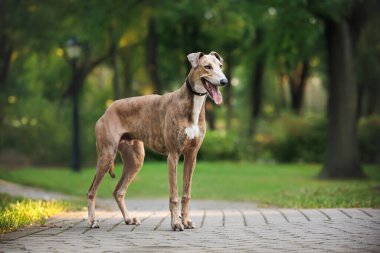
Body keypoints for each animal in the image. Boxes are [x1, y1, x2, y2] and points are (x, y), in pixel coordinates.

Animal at [87, 51, 227, 231]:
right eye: (207, 66)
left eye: (220, 66)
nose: (224, 81)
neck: (192, 104)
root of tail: (108, 109)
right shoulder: (173, 156)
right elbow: (174, 195)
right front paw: (176, 223)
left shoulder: (191, 156)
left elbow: (186, 194)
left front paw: (186, 221)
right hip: (107, 154)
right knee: (91, 191)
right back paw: (92, 221)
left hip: (135, 160)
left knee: (118, 191)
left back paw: (129, 219)